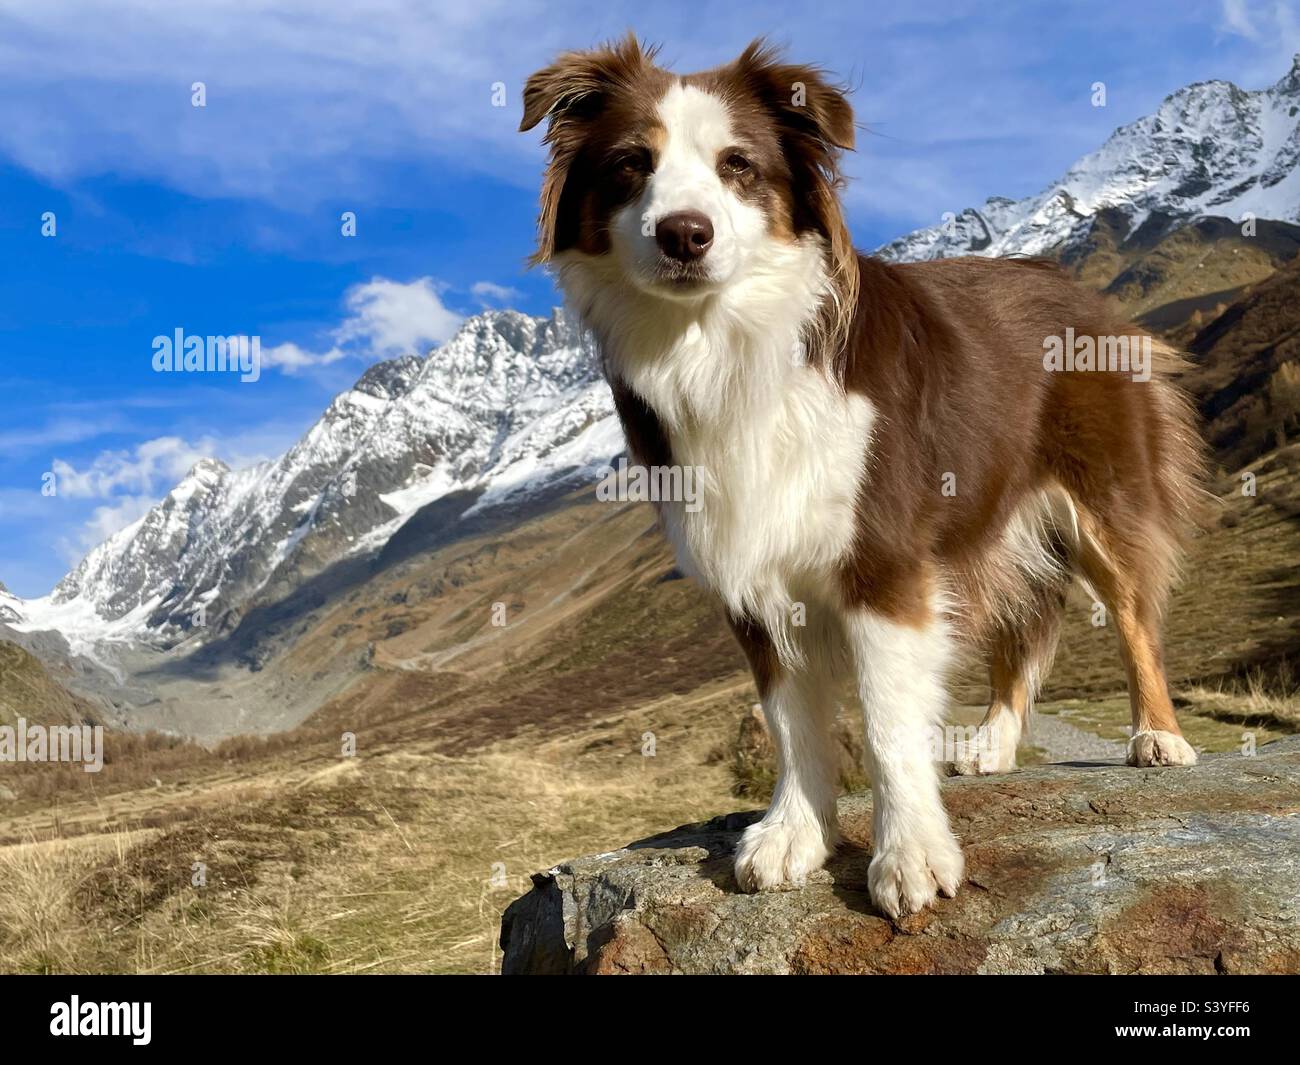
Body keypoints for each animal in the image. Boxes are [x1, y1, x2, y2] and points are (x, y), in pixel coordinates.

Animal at [520, 37, 1206, 920]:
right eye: (631, 164)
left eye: (738, 165)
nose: (684, 234)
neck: (724, 344)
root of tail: (1078, 287)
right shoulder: (750, 567)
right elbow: (790, 719)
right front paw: (793, 833)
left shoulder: (883, 561)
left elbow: (884, 718)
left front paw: (909, 852)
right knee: (1028, 622)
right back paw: (992, 741)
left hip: (1104, 499)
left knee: (1131, 613)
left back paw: (1158, 735)